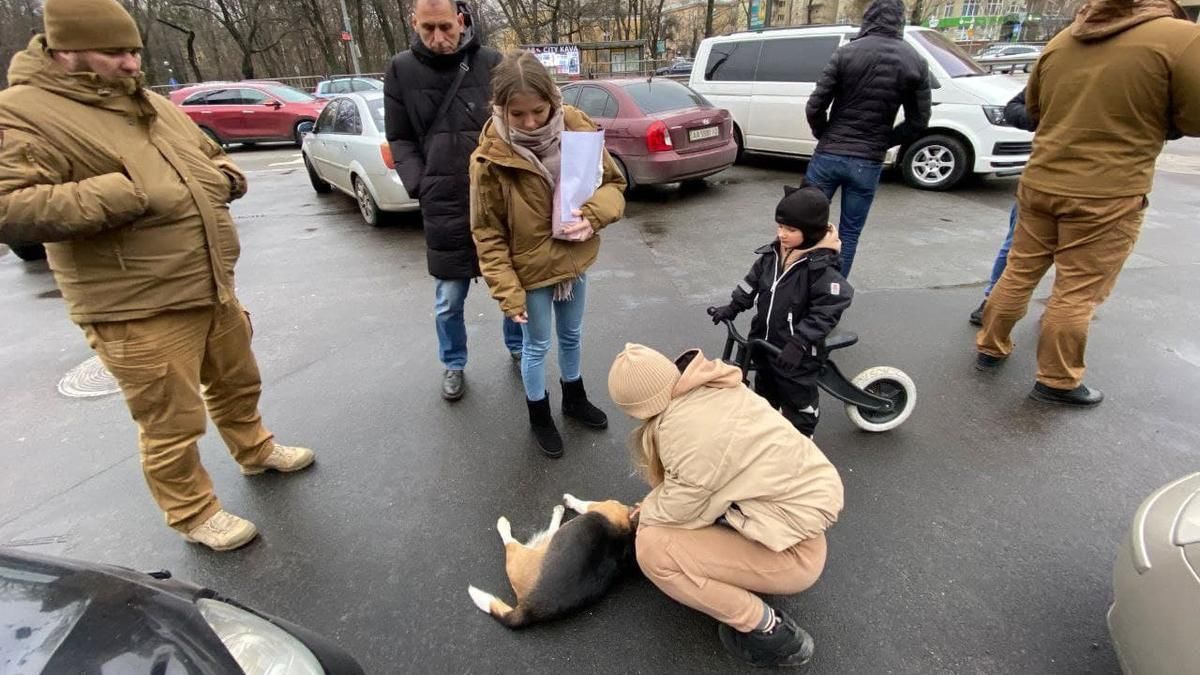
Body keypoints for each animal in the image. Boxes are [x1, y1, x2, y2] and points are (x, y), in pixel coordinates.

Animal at [465, 487, 638, 624]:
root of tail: (528, 609)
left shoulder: (598, 505)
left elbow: (582, 503)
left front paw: (570, 500)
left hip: (520, 554)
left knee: (514, 539)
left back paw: (505, 524)